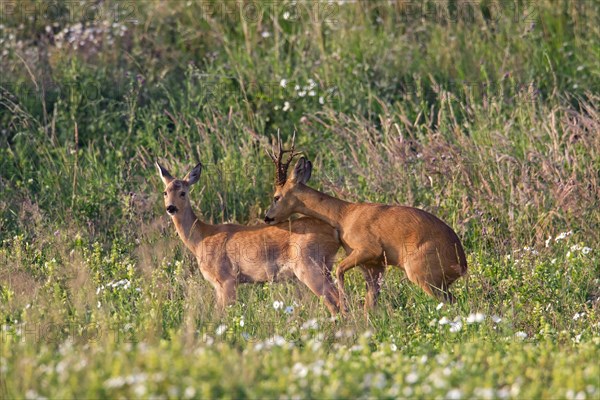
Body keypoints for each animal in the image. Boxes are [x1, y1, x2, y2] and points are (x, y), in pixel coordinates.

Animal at [156, 161, 342, 314]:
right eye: (165, 192)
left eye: (183, 192)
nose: (170, 208)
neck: (202, 238)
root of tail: (334, 232)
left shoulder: (227, 279)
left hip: (309, 266)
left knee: (336, 302)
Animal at [264, 141, 468, 312]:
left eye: (276, 196)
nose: (267, 217)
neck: (344, 216)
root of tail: (461, 264)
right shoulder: (373, 266)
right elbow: (369, 304)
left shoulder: (369, 249)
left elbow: (339, 271)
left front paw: (346, 307)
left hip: (422, 275)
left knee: (452, 302)